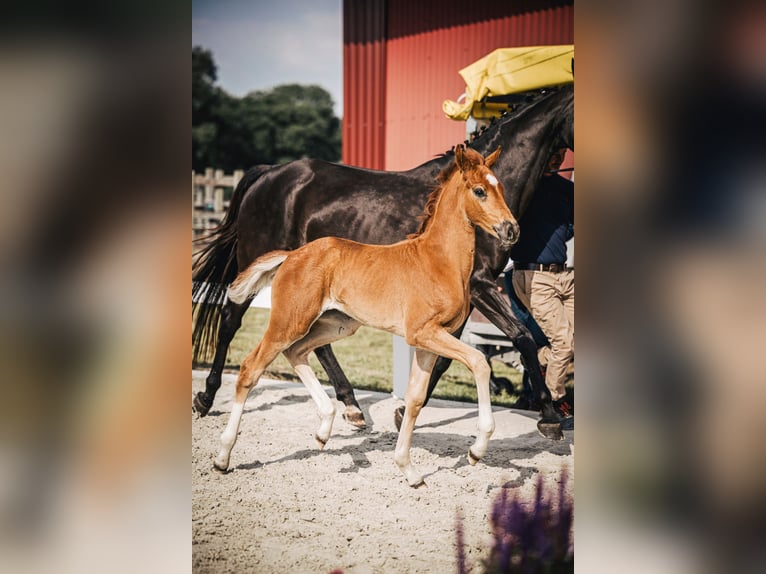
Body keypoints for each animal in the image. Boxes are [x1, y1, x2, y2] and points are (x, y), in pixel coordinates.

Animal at [195, 84, 572, 440]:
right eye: (481, 191)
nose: (511, 230)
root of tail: (268, 173)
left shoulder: (462, 299)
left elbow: (445, 360)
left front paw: (406, 411)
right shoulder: (481, 285)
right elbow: (523, 337)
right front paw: (549, 417)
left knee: (315, 344)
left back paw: (351, 405)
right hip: (256, 264)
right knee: (230, 321)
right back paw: (207, 397)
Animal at [213, 146, 520, 488]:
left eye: (501, 188)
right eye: (479, 191)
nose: (511, 229)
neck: (440, 261)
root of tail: (292, 255)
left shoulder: (428, 342)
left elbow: (415, 400)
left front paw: (409, 470)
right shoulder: (423, 333)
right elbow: (479, 363)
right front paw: (476, 451)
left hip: (337, 324)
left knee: (297, 352)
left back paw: (325, 427)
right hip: (289, 320)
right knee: (251, 367)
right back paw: (222, 457)